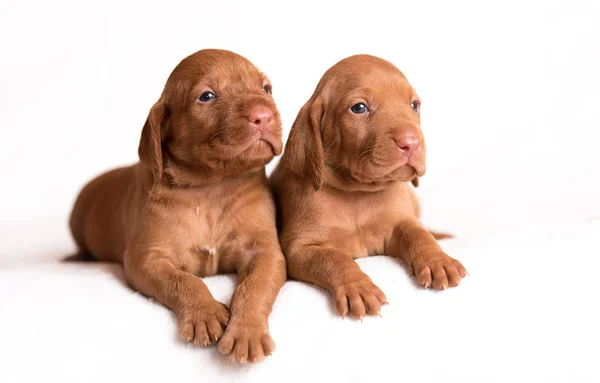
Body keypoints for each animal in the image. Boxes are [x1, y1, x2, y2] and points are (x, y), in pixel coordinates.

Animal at [70, 48, 286, 364]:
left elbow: (254, 287)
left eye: (266, 89)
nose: (264, 116)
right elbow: (183, 280)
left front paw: (247, 331)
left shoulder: (264, 251)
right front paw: (205, 312)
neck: (212, 188)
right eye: (207, 96)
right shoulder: (144, 259)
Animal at [270, 54, 466, 320]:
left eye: (414, 105)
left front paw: (438, 260)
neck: (357, 192)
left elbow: (417, 233)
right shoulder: (299, 249)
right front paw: (358, 287)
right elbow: (334, 257)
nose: (412, 142)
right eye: (359, 108)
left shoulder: (398, 224)